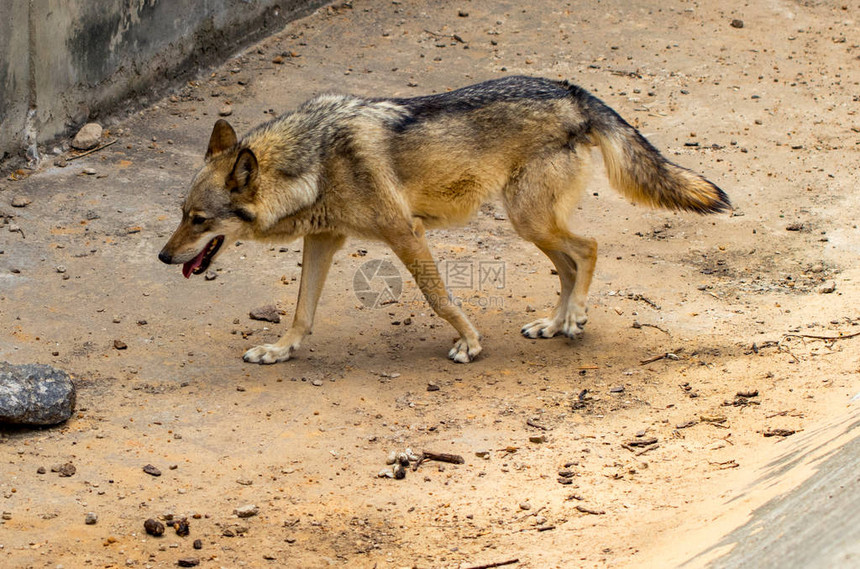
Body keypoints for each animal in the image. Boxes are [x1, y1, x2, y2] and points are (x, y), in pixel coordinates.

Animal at [158, 74, 728, 364]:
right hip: (529, 224)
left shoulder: (404, 233)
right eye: (183, 215)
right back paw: (554, 323)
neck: (314, 160)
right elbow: (301, 312)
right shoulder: (324, 242)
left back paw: (572, 319)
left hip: (527, 221)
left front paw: (469, 342)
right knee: (569, 263)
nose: (163, 256)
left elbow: (440, 298)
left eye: (200, 220)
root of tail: (572, 91)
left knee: (587, 249)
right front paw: (280, 351)